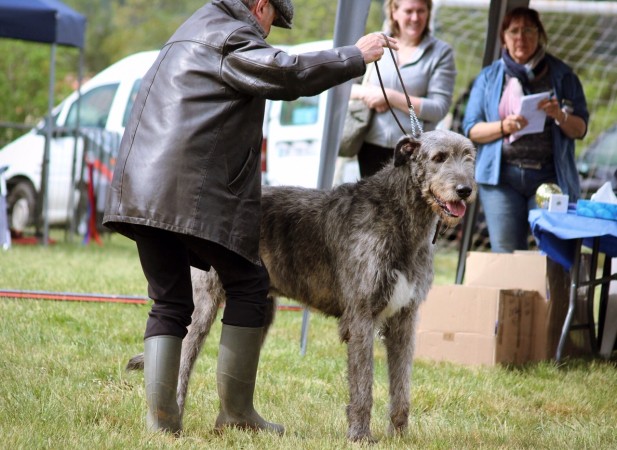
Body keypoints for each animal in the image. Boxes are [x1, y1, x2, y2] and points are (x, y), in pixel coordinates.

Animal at [126, 128, 476, 442]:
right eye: (438, 157)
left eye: (469, 157)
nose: (465, 190)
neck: (399, 215)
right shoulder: (361, 318)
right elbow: (363, 386)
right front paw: (360, 436)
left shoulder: (404, 318)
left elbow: (401, 387)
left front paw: (400, 437)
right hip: (204, 302)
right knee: (183, 355)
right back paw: (171, 424)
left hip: (259, 306)